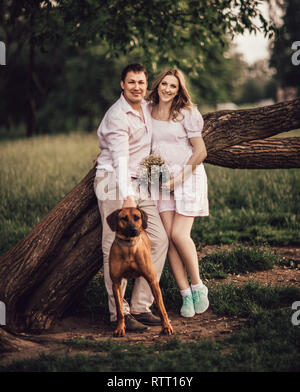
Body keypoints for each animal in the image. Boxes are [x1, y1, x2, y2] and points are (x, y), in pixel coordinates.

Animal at [107, 207, 173, 338]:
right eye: (124, 218)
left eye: (137, 217)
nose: (134, 229)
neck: (129, 247)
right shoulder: (116, 283)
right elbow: (119, 310)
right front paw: (120, 328)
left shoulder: (152, 280)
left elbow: (162, 308)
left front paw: (166, 327)